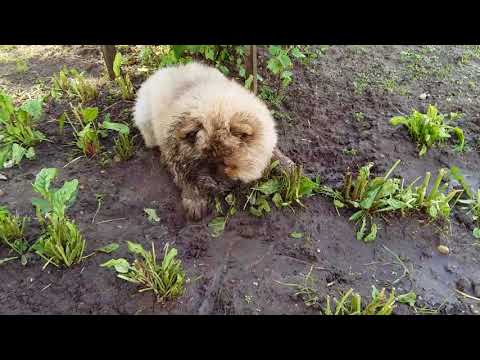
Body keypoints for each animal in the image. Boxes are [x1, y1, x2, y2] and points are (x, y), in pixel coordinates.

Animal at [134, 62, 292, 219]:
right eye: (203, 160)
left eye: (226, 163)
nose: (212, 181)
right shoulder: (176, 153)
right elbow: (186, 178)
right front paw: (195, 202)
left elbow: (274, 151)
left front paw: (287, 165)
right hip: (146, 122)